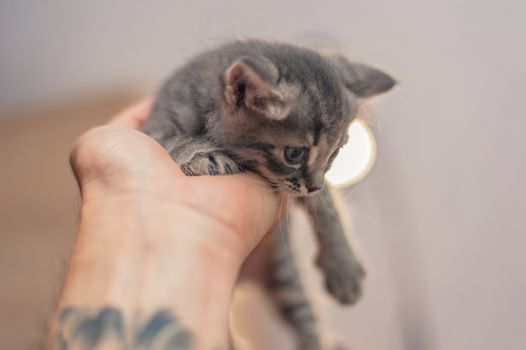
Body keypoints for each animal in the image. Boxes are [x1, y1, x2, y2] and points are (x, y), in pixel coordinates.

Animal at [142, 39, 398, 348]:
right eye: (294, 153)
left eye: (336, 153)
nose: (315, 185)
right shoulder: (152, 127)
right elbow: (173, 139)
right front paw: (204, 154)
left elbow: (328, 207)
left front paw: (343, 267)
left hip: (286, 278)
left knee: (308, 323)